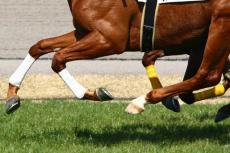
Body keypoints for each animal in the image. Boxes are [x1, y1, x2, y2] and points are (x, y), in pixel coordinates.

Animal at [5, 0, 230, 122]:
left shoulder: (109, 40)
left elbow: (58, 59)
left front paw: (92, 93)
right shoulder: (84, 32)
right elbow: (39, 46)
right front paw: (12, 95)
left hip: (219, 26)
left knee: (207, 75)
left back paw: (141, 101)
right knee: (195, 86)